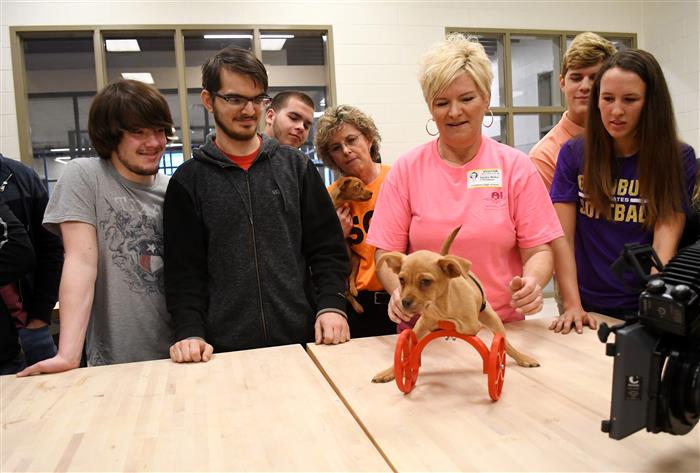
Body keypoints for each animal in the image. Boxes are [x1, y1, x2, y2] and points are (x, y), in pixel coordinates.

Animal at [330, 175, 374, 312]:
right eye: (357, 186)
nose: (371, 193)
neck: (338, 202)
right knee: (346, 293)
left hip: (355, 259)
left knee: (352, 278)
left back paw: (355, 294)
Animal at [374, 227, 540, 382]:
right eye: (401, 280)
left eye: (426, 281)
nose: (405, 302)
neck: (440, 305)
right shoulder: (422, 324)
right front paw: (390, 371)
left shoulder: (471, 325)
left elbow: (457, 324)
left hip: (493, 320)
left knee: (506, 344)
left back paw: (523, 358)